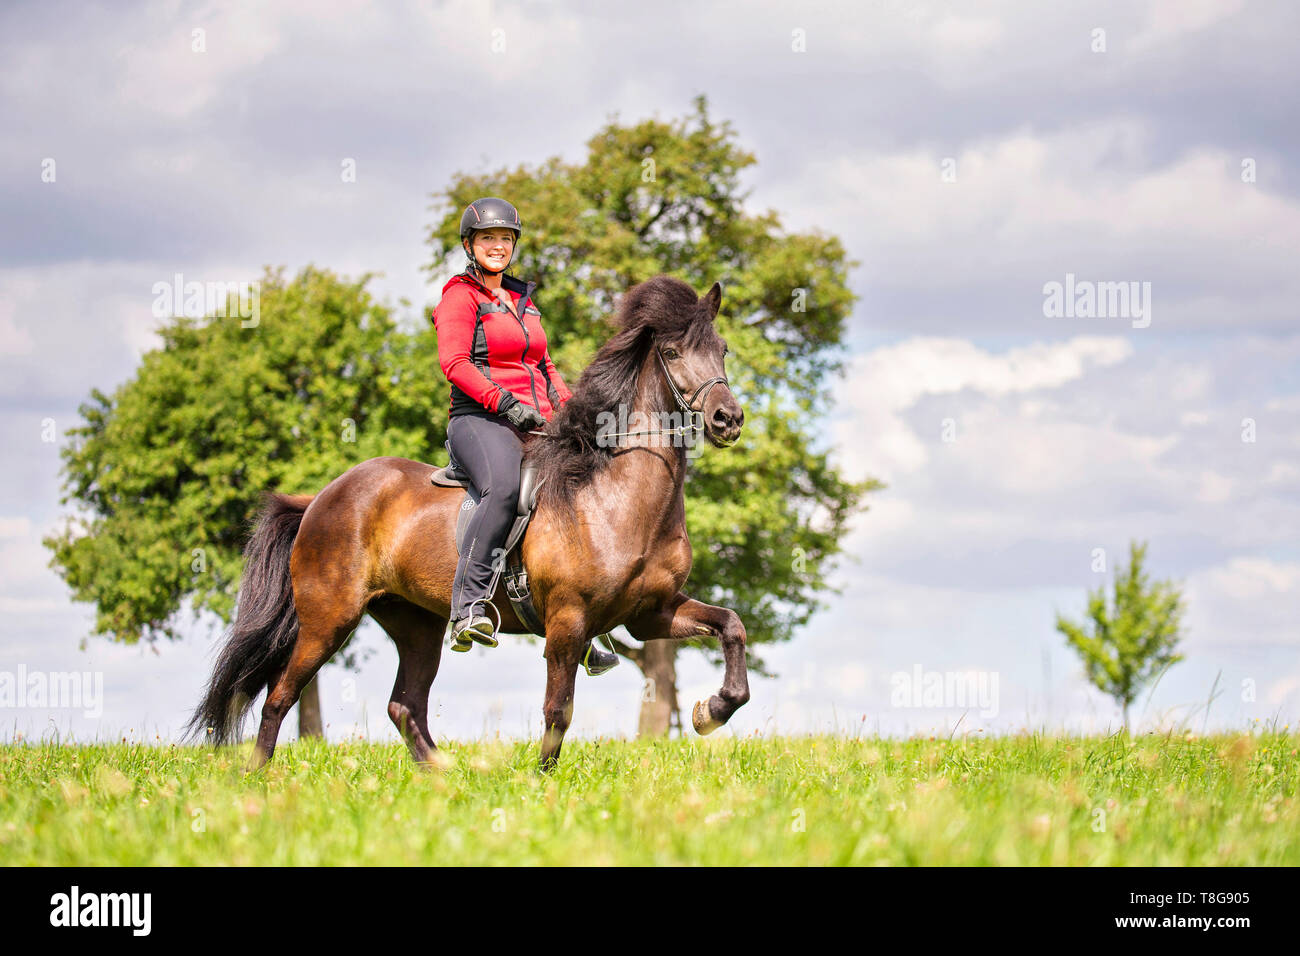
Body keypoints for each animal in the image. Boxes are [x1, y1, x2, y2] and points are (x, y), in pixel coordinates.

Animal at [188, 274, 748, 770]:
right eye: (672, 353)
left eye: (721, 350)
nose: (728, 419)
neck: (614, 495)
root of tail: (322, 498)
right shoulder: (567, 622)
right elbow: (558, 710)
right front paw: (541, 785)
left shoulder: (649, 613)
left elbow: (732, 627)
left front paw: (711, 711)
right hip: (328, 618)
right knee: (280, 695)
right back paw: (256, 778)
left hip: (415, 622)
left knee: (403, 704)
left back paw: (445, 777)